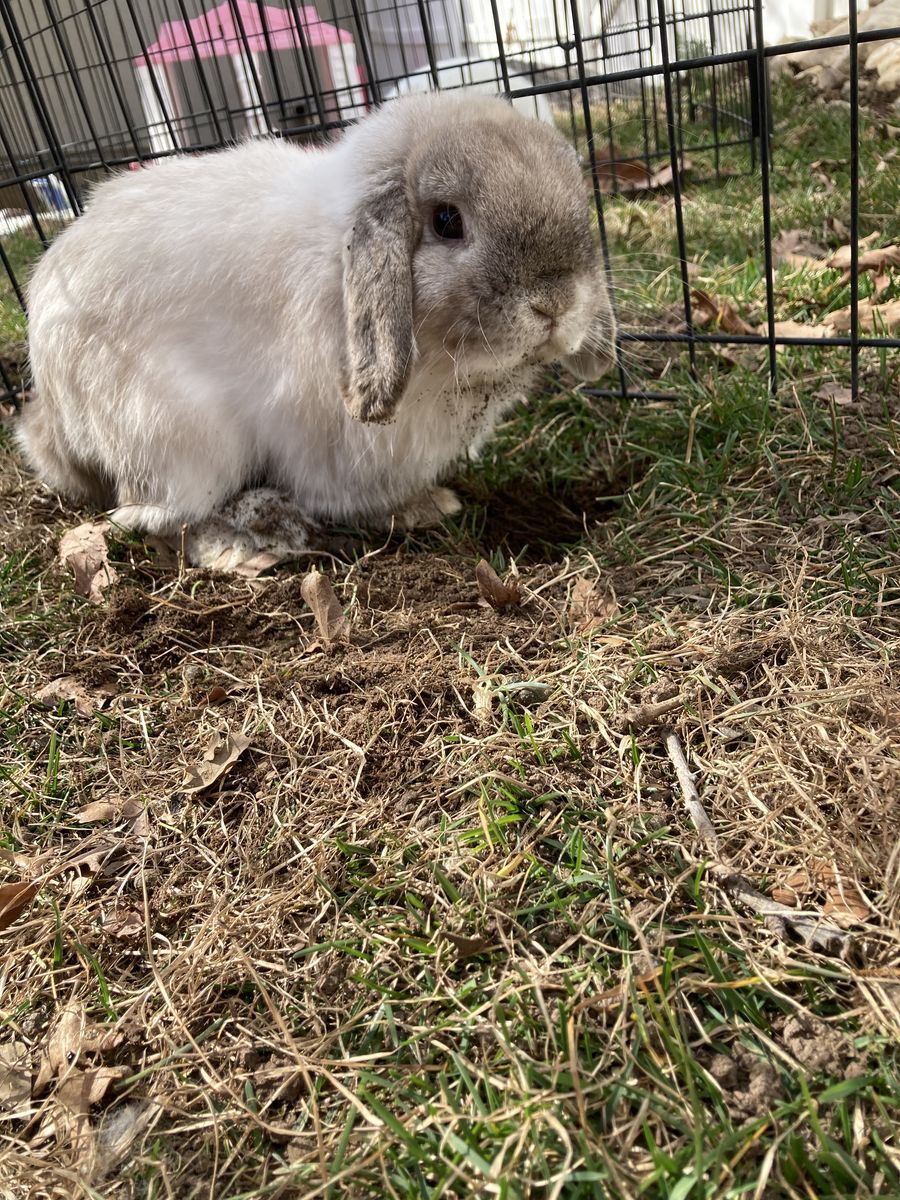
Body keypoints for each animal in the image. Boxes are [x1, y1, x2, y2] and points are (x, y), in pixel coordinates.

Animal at [18, 91, 616, 567]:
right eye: (448, 221)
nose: (556, 304)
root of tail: (54, 404)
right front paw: (423, 508)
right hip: (182, 442)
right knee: (152, 518)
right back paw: (236, 548)